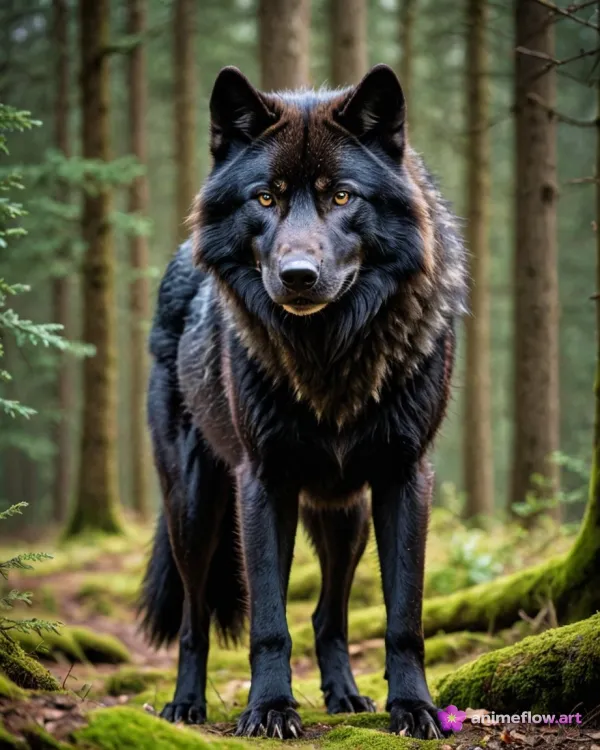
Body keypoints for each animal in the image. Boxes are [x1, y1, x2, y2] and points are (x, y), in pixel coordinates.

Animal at [139, 63, 467, 740]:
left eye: (341, 196)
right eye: (266, 198)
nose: (297, 276)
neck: (328, 357)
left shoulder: (404, 477)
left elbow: (404, 618)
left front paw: (413, 708)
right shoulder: (263, 481)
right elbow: (268, 620)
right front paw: (269, 709)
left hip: (346, 516)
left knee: (328, 615)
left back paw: (344, 696)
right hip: (195, 505)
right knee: (192, 618)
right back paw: (184, 706)